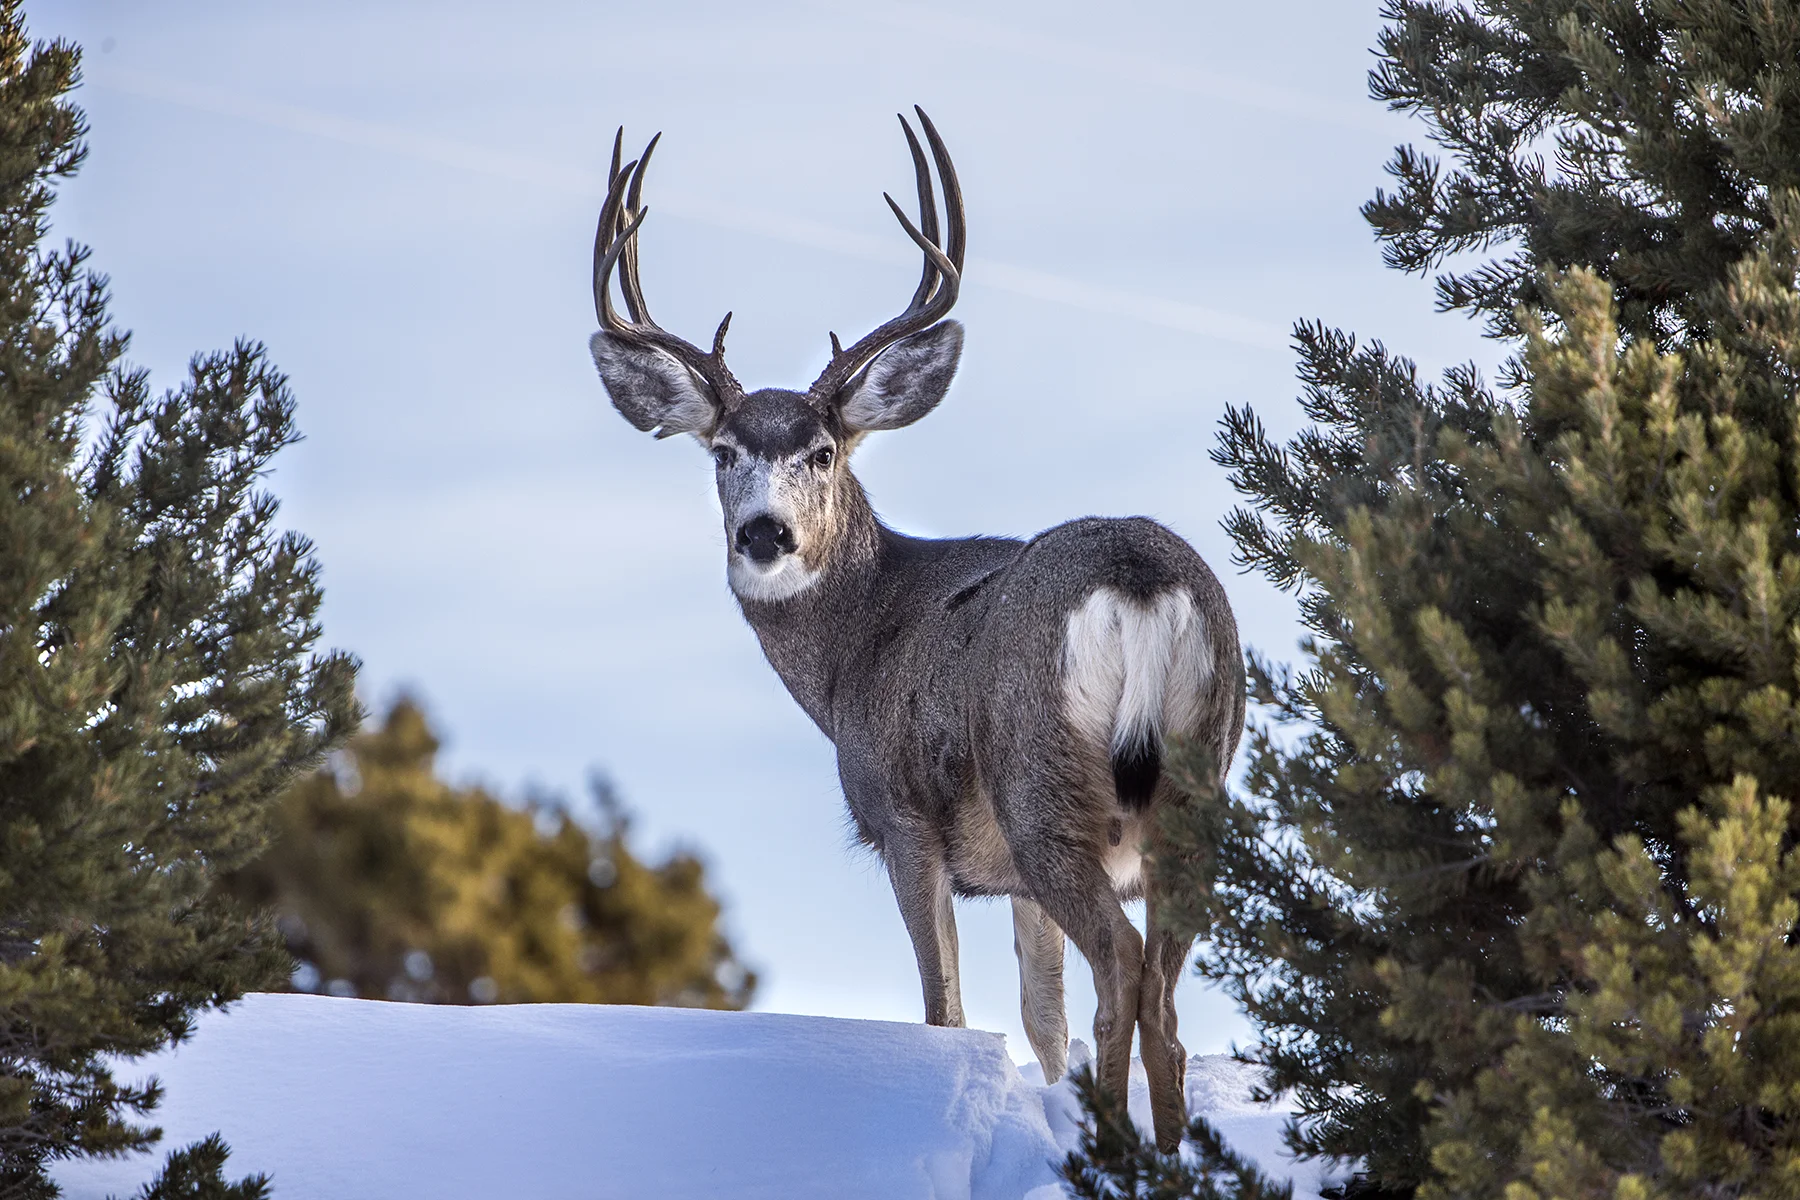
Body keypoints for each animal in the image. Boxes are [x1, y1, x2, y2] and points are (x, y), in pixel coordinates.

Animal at [585, 109, 1244, 1152]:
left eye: (821, 451)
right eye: (724, 452)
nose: (763, 533)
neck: (859, 645)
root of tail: (1137, 579)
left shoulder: (903, 820)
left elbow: (947, 1010)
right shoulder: (1010, 880)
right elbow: (1041, 1019)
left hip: (1041, 784)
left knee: (1124, 962)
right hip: (1200, 776)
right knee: (1165, 995)